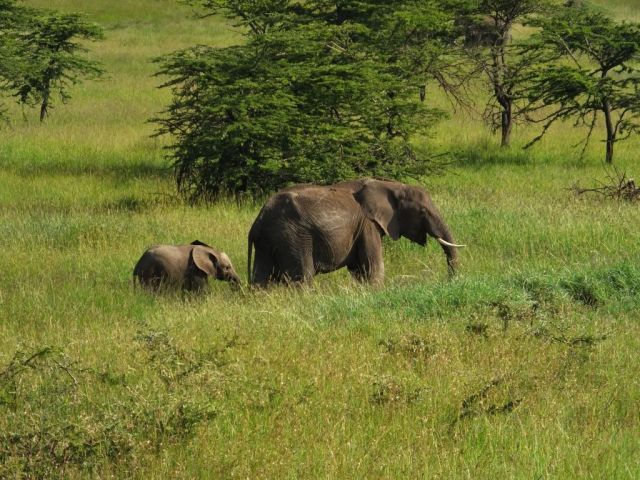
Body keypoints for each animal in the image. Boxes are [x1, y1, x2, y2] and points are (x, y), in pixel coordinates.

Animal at [247, 178, 464, 286]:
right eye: (423, 212)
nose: (450, 281)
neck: (391, 185)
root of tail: (257, 222)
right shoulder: (367, 225)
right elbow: (373, 268)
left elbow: (358, 270)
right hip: (293, 237)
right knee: (302, 278)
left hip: (268, 242)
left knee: (261, 280)